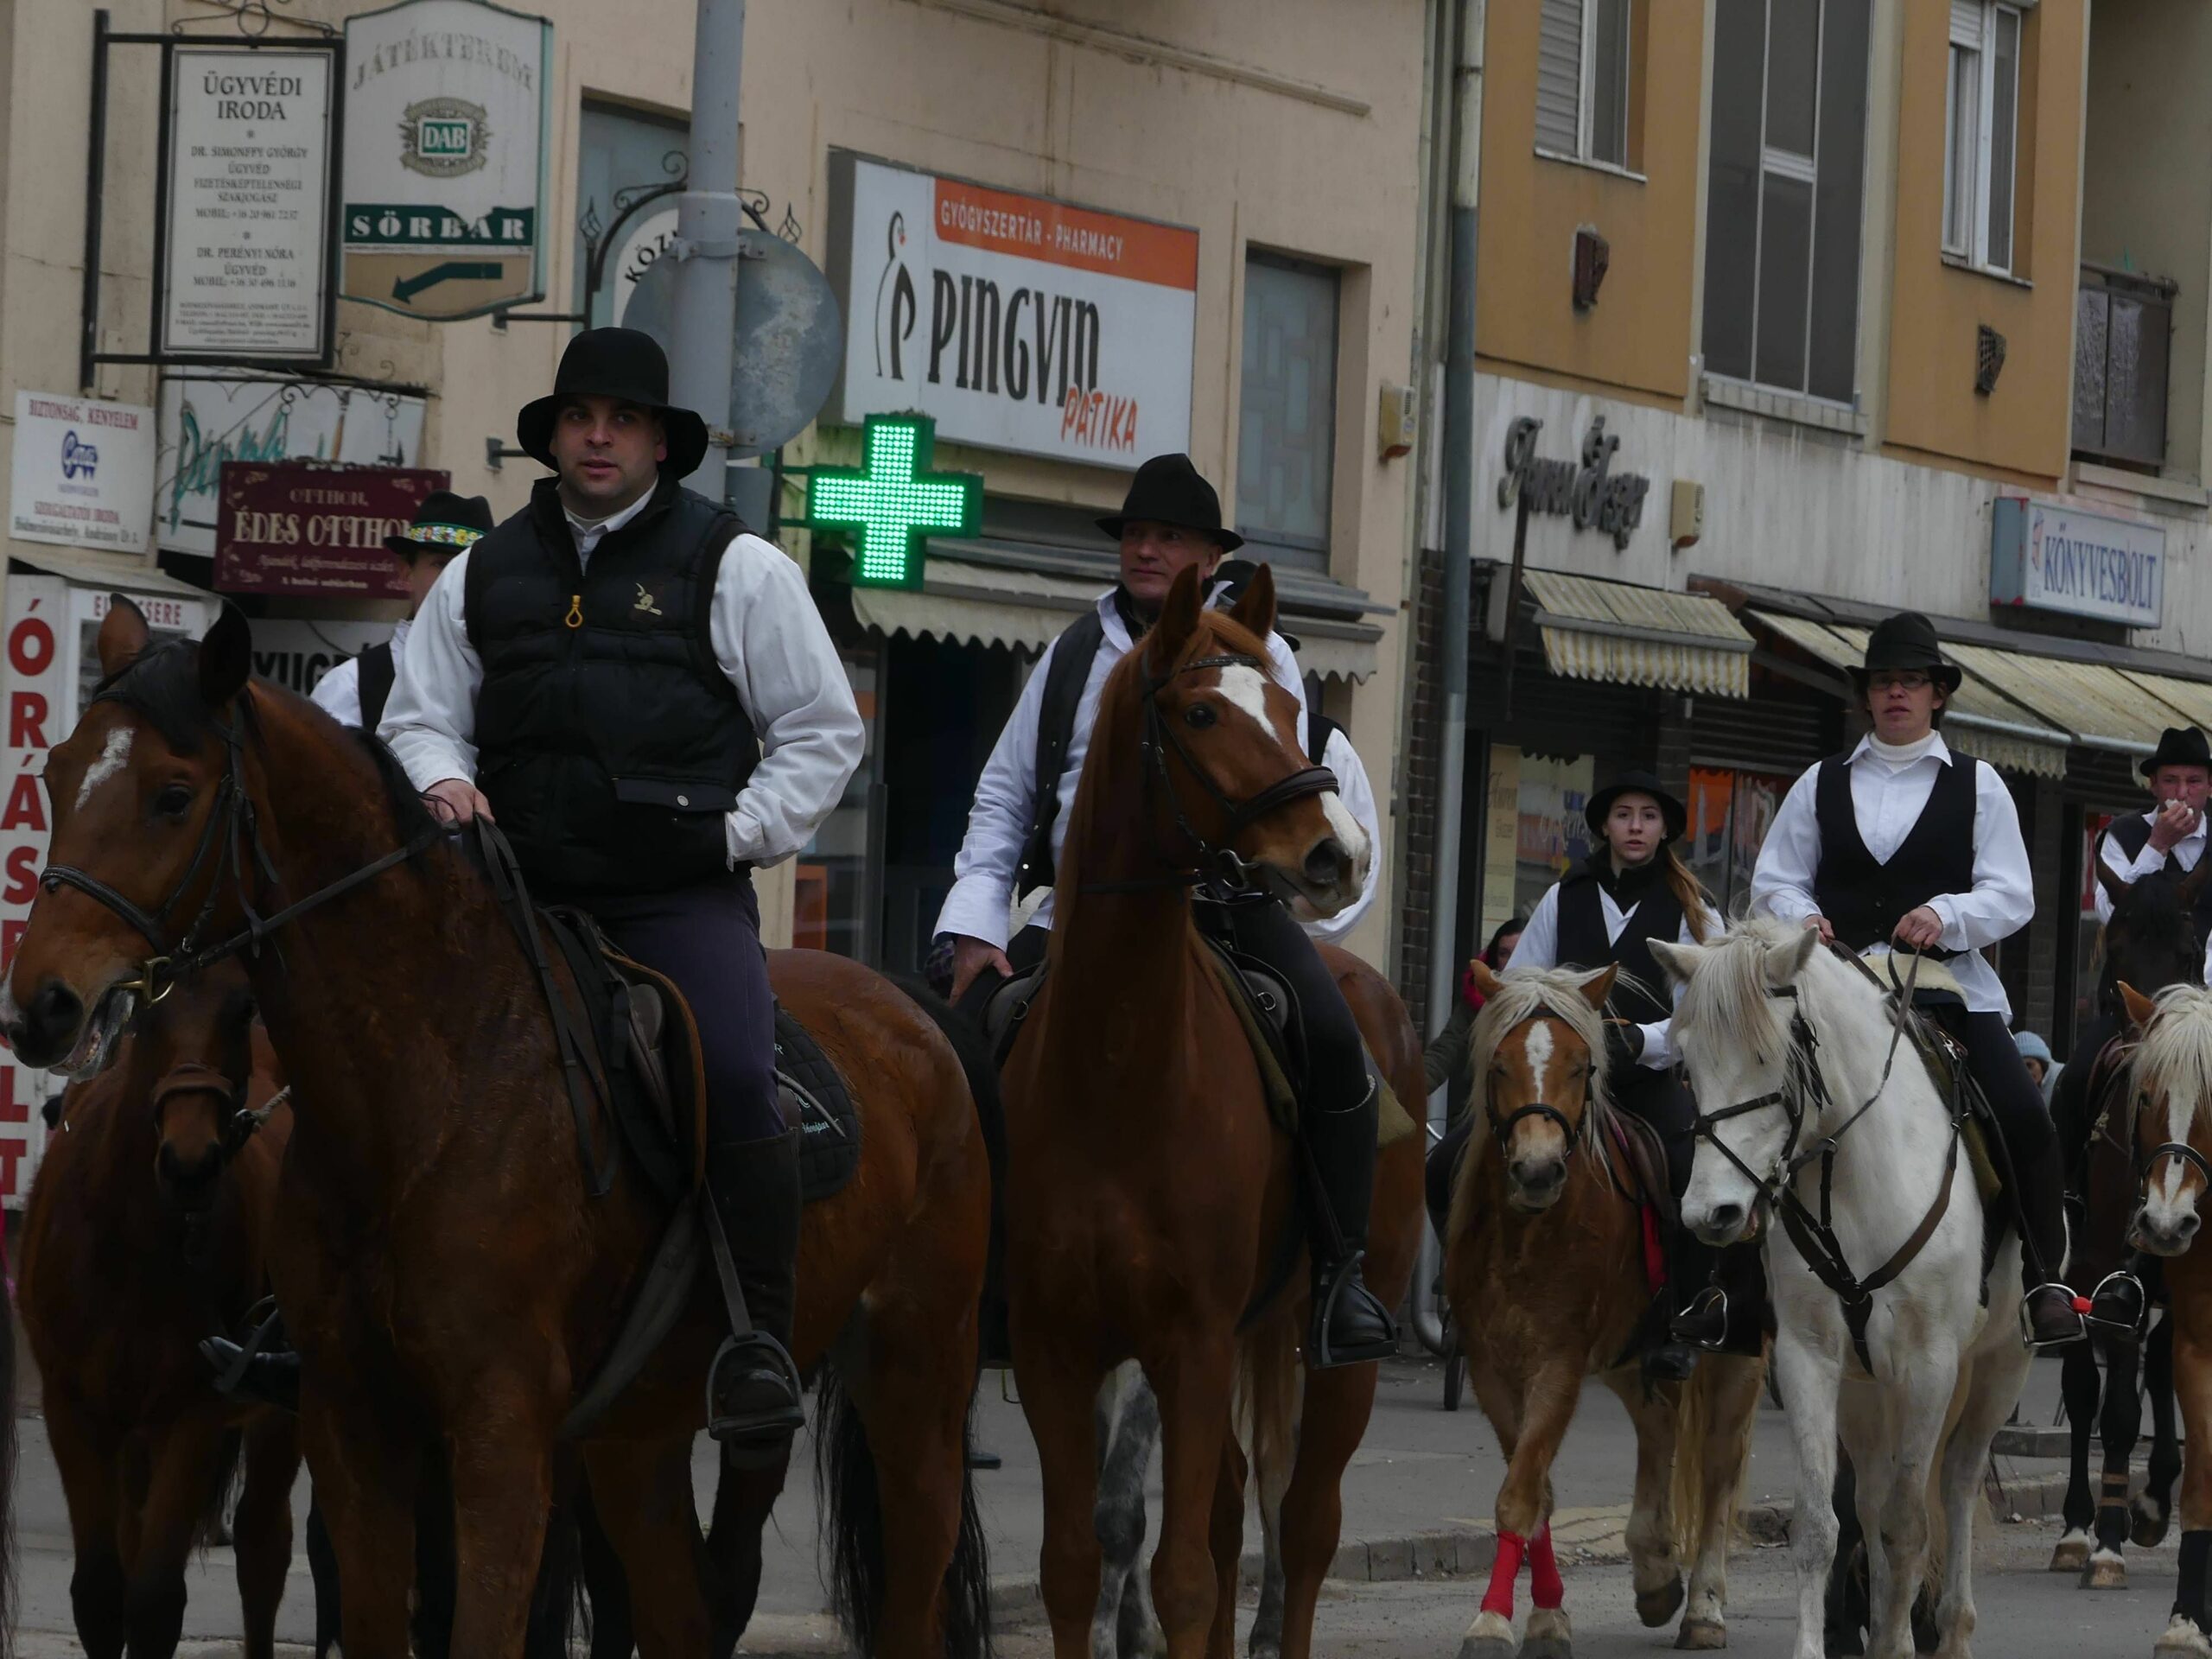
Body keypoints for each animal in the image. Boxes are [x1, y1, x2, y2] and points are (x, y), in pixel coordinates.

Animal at [18, 960, 298, 1659]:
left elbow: (153, 1601)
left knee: (263, 1545)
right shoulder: (74, 1410)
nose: (190, 1163)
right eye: (146, 1013)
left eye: (241, 1007)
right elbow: (99, 1592)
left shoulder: (190, 1415)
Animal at [1013, 566, 1424, 1654]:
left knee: (1304, 1525)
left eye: (1290, 708)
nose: (1337, 853)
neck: (1120, 1068)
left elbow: (1189, 1580)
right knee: (1239, 1509)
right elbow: (1073, 1566)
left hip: (1339, 1348)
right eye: (1200, 714)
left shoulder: (1189, 1346)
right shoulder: (1054, 1350)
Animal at [1442, 960, 1770, 1659]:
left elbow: (1522, 1493)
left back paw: (1704, 1607)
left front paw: (1494, 1622)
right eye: (1499, 1065)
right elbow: (1534, 1492)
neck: (1527, 1234)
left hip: (1740, 1354)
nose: (1537, 1170)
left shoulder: (1559, 1364)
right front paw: (1544, 1616)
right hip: (1629, 1353)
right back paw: (1654, 1572)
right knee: (1659, 1424)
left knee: (1719, 1468)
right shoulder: (1490, 1368)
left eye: (1582, 1067)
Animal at [1654, 925, 2025, 1659]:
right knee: (1873, 1496)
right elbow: (1821, 1525)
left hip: (1999, 1366)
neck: (1847, 1174)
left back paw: (1952, 1629)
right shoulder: (1810, 1358)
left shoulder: (1930, 1365)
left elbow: (1912, 1523)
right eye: (1688, 1066)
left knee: (1958, 1483)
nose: (1712, 1214)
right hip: (1865, 1389)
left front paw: (1899, 1639)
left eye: (1769, 1056)